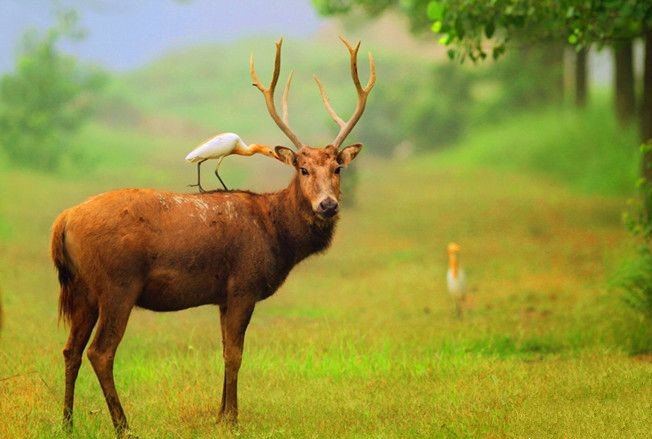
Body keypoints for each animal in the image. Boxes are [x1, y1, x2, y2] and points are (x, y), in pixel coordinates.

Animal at [49, 37, 376, 436]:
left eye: (337, 168)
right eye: (303, 168)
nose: (327, 204)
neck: (276, 234)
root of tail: (64, 221)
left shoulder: (222, 295)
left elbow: (223, 349)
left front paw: (220, 413)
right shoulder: (244, 285)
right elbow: (235, 353)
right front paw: (232, 418)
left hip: (82, 288)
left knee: (71, 349)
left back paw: (67, 423)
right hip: (117, 283)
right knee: (101, 351)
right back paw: (123, 425)